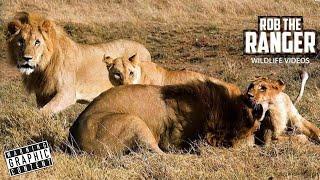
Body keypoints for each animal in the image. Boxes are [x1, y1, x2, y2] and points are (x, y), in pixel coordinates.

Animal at [6, 11, 151, 114]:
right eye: (20, 41)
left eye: (37, 42)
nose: (27, 58)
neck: (42, 68)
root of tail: (145, 50)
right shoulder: (42, 95)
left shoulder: (67, 93)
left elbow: (43, 112)